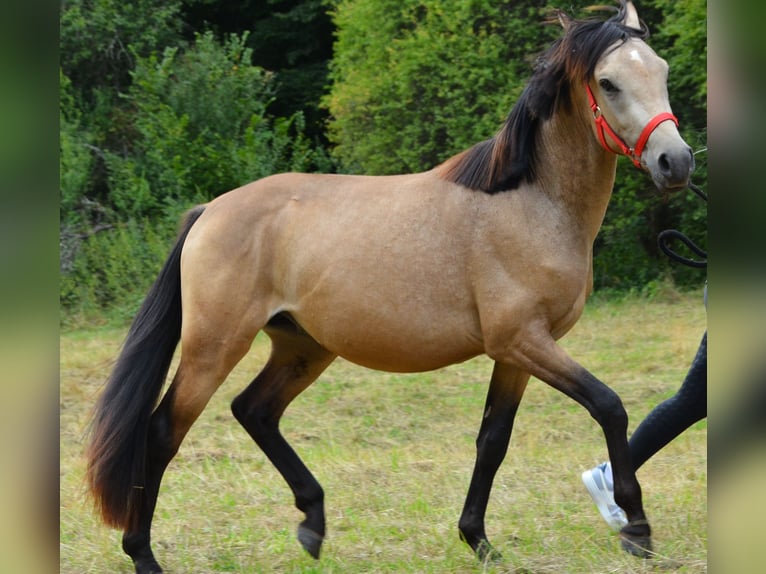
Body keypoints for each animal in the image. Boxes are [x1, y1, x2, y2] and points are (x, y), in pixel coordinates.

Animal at [86, 2, 694, 572]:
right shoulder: (524, 340)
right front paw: (637, 529)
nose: (676, 161)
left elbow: (492, 441)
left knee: (254, 411)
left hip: (303, 347)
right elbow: (609, 406)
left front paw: (479, 540)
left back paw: (312, 522)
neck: (529, 203)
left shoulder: (516, 354)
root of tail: (209, 210)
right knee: (163, 431)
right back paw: (143, 554)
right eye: (608, 82)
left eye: (660, 69)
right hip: (214, 346)